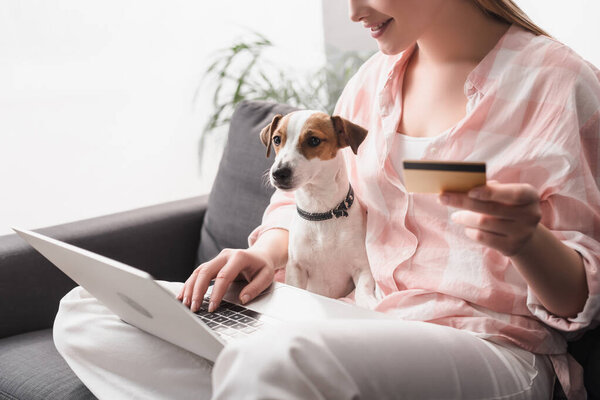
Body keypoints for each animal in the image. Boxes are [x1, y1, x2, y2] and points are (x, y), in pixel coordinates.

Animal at [258, 109, 380, 310]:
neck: (321, 213)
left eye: (314, 140)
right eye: (276, 139)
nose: (278, 173)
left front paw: (369, 303)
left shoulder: (362, 268)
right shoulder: (296, 269)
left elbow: (363, 291)